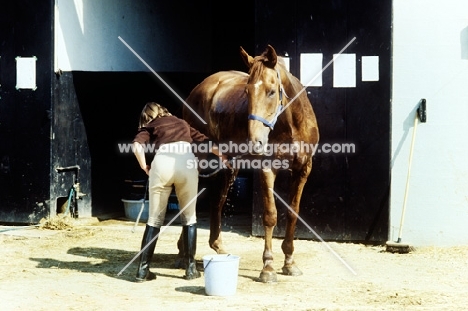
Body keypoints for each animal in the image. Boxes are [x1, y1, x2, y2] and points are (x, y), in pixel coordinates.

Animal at [181, 45, 320, 282]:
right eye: (246, 92)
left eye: (271, 91)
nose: (256, 141)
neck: (292, 124)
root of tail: (199, 88)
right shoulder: (267, 169)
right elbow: (270, 215)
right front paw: (268, 267)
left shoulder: (303, 170)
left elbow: (293, 213)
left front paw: (290, 262)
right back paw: (182, 252)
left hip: (227, 166)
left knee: (217, 201)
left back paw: (217, 246)